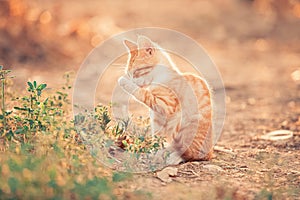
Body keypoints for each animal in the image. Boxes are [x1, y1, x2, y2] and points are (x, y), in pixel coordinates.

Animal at [118, 36, 213, 165]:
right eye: (130, 74)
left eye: (137, 72)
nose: (132, 80)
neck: (160, 76)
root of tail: (210, 153)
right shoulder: (157, 119)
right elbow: (158, 138)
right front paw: (155, 152)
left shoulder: (167, 105)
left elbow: (143, 94)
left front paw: (125, 82)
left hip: (190, 123)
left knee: (188, 153)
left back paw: (173, 157)